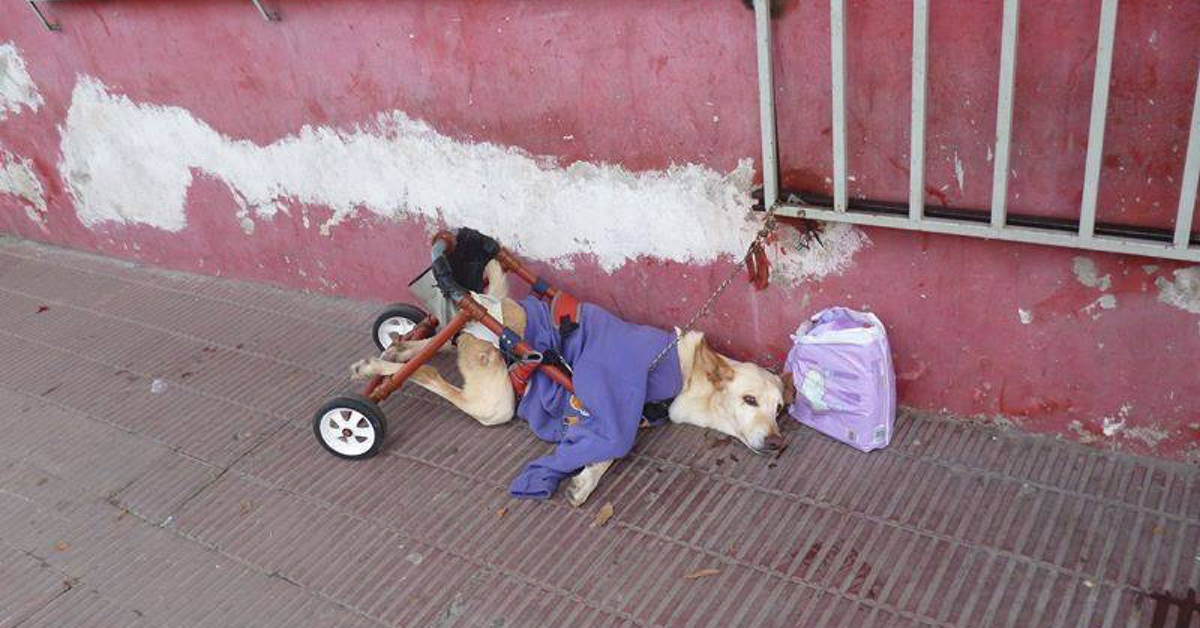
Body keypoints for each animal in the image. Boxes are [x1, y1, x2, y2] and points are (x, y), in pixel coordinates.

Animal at [352, 262, 787, 509]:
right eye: (749, 400)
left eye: (780, 410)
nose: (777, 443)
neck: (685, 371)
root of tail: (482, 307)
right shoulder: (610, 398)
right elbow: (614, 442)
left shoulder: (609, 416)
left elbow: (606, 448)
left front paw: (584, 478)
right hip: (495, 402)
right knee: (430, 373)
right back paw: (380, 375)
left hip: (469, 355)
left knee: (433, 342)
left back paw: (392, 348)